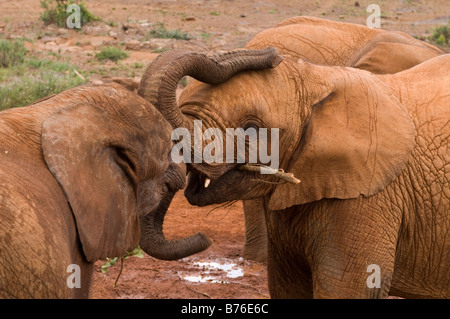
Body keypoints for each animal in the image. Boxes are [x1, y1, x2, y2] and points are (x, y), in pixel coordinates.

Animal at [138, 48, 450, 300]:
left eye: (251, 129)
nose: (273, 54)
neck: (315, 78)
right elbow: (286, 286)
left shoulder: (370, 196)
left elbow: (348, 288)